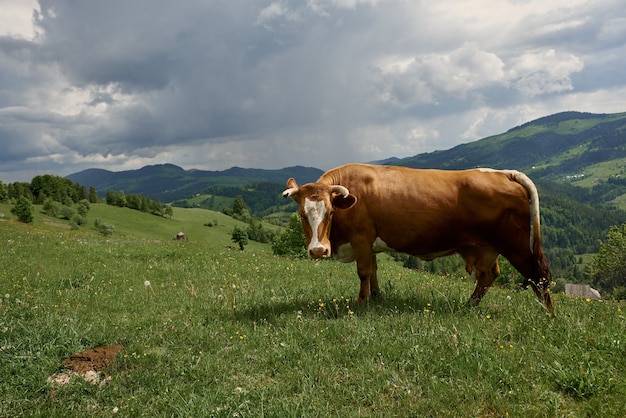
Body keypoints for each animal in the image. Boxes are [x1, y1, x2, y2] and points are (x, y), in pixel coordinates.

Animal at [282, 162, 552, 314]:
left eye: (330, 212)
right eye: (302, 214)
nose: (318, 250)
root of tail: (502, 173)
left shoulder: (360, 239)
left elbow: (364, 272)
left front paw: (361, 301)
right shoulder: (369, 244)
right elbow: (375, 270)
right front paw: (376, 296)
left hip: (515, 244)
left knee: (538, 275)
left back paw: (549, 316)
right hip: (487, 247)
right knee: (488, 275)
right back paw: (468, 306)